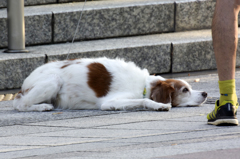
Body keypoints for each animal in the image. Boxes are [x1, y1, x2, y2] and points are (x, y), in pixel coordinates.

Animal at [13, 57, 207, 112]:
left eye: (190, 87)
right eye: (185, 90)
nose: (205, 93)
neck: (145, 85)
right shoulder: (109, 102)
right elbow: (144, 100)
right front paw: (159, 105)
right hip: (54, 80)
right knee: (21, 104)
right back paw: (42, 107)